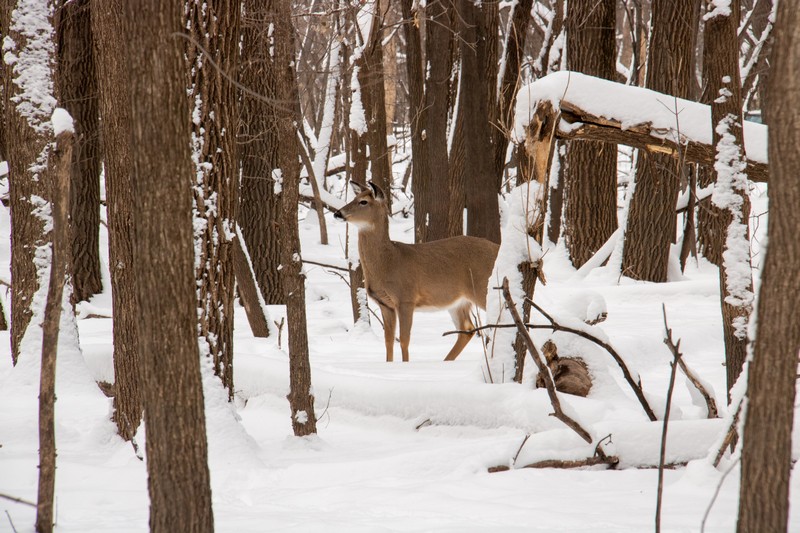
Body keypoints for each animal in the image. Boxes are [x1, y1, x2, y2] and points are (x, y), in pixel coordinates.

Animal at [334, 181, 500, 362]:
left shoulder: (406, 298)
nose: (337, 213)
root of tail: (498, 247)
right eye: (354, 197)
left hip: (484, 287)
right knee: (468, 328)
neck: (390, 261)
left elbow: (404, 340)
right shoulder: (385, 304)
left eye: (363, 201)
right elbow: (388, 341)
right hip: (458, 301)